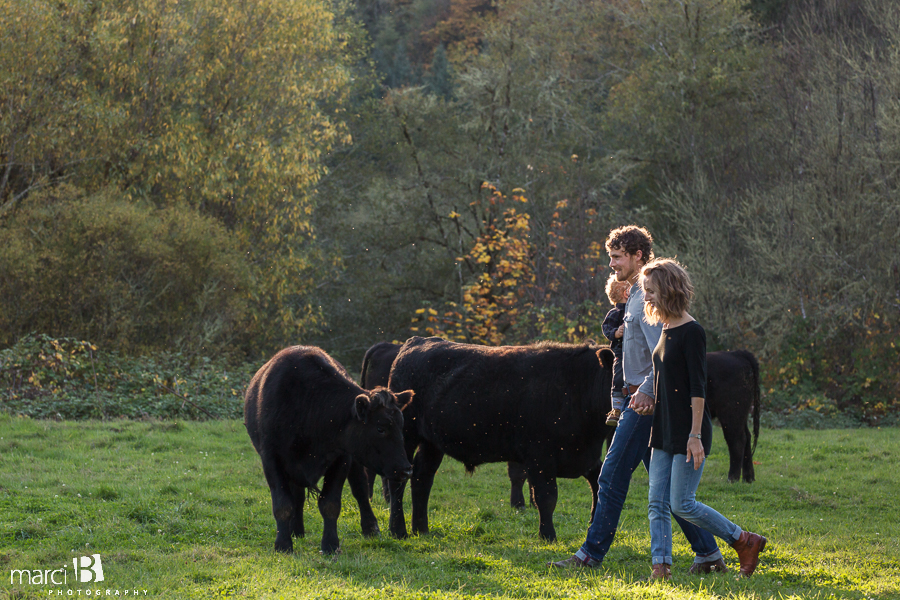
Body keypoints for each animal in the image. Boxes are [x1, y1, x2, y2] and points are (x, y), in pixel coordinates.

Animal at [246, 344, 414, 556]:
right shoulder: (271, 459)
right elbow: (283, 505)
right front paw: (283, 544)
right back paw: (295, 530)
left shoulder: (341, 458)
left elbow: (330, 504)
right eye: (380, 428)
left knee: (360, 490)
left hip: (354, 462)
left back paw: (370, 528)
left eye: (401, 425)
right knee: (298, 496)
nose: (406, 470)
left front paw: (331, 544)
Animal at [384, 336, 616, 540]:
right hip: (406, 437)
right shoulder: (539, 457)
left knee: (422, 478)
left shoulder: (584, 456)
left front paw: (593, 522)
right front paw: (548, 536)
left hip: (431, 443)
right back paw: (398, 531)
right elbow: (546, 498)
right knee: (398, 480)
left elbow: (599, 482)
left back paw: (421, 529)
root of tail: (416, 341)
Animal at [712, 352, 760, 482]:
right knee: (747, 436)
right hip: (741, 414)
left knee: (737, 440)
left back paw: (732, 478)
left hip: (731, 412)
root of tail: (736, 353)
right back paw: (748, 478)